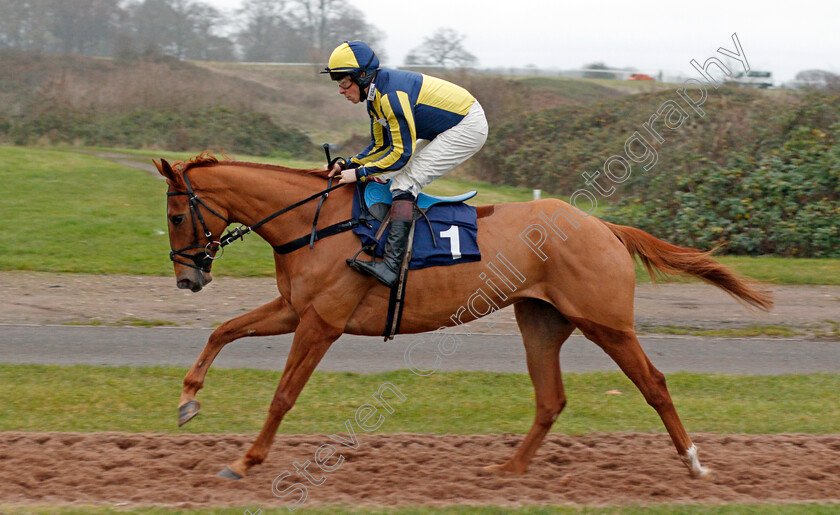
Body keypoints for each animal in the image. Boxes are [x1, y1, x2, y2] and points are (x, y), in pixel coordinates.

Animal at [154, 152, 772, 480]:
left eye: (177, 214)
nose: (188, 278)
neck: (317, 222)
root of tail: (604, 225)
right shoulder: (292, 309)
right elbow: (223, 331)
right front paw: (187, 400)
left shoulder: (321, 323)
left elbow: (283, 394)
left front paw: (246, 460)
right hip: (540, 320)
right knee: (551, 398)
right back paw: (509, 470)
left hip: (607, 323)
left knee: (655, 384)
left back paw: (694, 464)